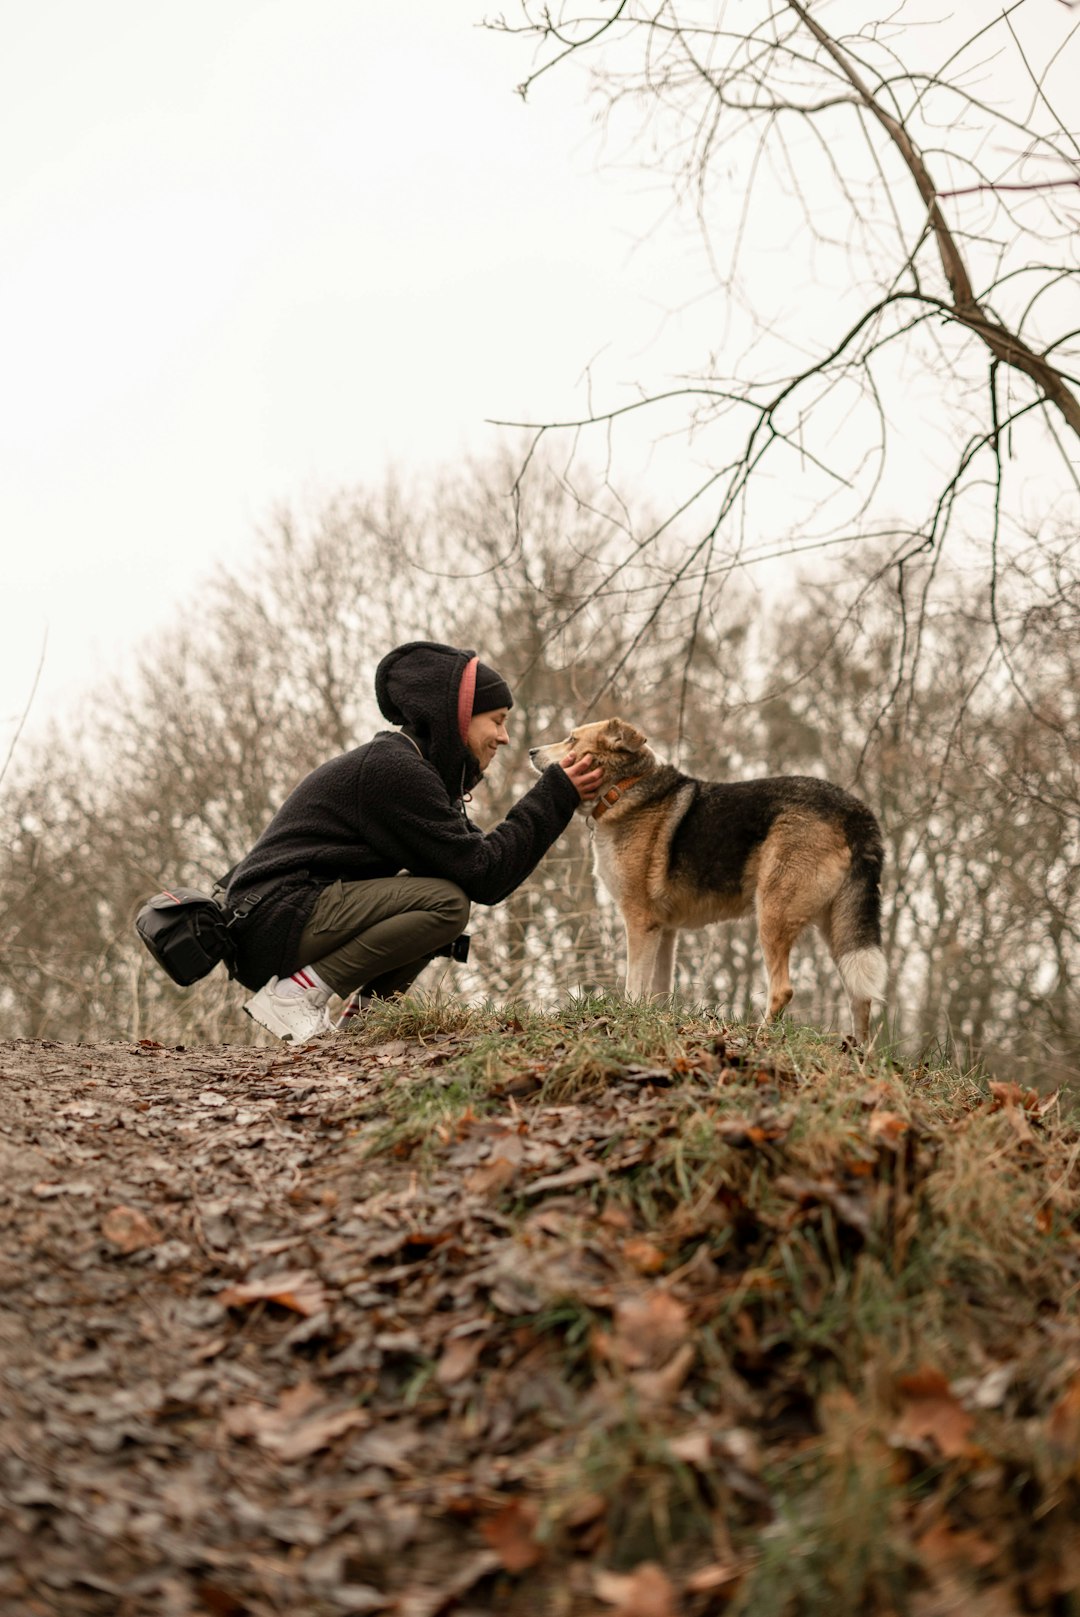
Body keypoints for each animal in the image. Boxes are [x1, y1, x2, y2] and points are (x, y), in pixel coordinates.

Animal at [530, 717, 885, 1041]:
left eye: (572, 739)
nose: (532, 751)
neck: (628, 788)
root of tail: (855, 810)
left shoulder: (640, 921)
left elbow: (634, 984)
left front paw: (627, 1016)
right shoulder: (664, 929)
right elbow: (659, 988)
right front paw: (654, 1019)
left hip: (773, 914)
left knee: (783, 989)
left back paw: (760, 1036)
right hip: (839, 928)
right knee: (861, 998)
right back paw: (858, 1056)